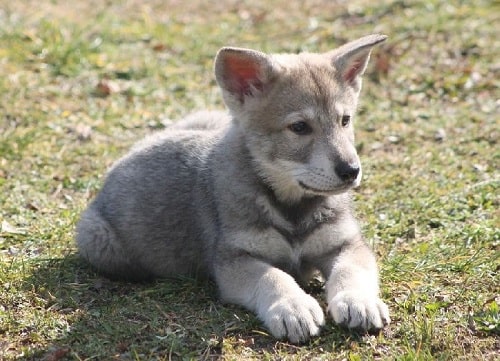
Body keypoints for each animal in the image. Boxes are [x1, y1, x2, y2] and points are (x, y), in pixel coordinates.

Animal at [77, 34, 390, 344]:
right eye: (300, 127)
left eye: (345, 120)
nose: (351, 171)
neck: (291, 210)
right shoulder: (235, 261)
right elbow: (274, 277)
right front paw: (292, 306)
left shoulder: (344, 244)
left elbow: (351, 271)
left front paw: (359, 301)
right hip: (102, 243)